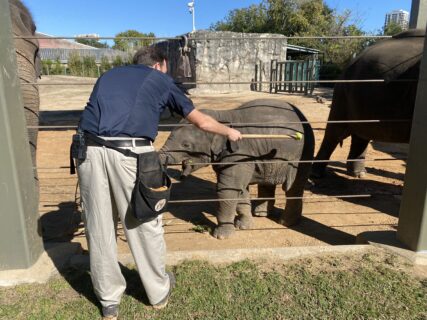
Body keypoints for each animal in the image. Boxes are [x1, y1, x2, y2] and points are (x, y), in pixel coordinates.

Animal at [160, 99, 314, 239]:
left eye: (186, 145)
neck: (221, 116)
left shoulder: (239, 153)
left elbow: (228, 188)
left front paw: (221, 236)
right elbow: (240, 189)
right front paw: (244, 226)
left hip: (303, 153)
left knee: (293, 186)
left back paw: (286, 222)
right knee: (267, 183)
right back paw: (261, 214)